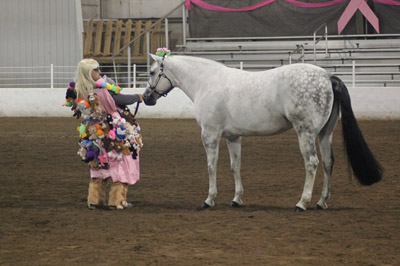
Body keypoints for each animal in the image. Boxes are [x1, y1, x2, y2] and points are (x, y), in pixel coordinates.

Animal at [142, 54, 382, 212]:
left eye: (152, 72)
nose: (146, 97)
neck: (207, 83)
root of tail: (327, 76)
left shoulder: (210, 135)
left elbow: (211, 166)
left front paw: (209, 200)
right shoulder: (233, 137)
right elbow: (235, 166)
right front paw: (237, 199)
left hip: (305, 132)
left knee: (312, 163)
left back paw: (302, 203)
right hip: (325, 133)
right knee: (328, 162)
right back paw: (321, 202)